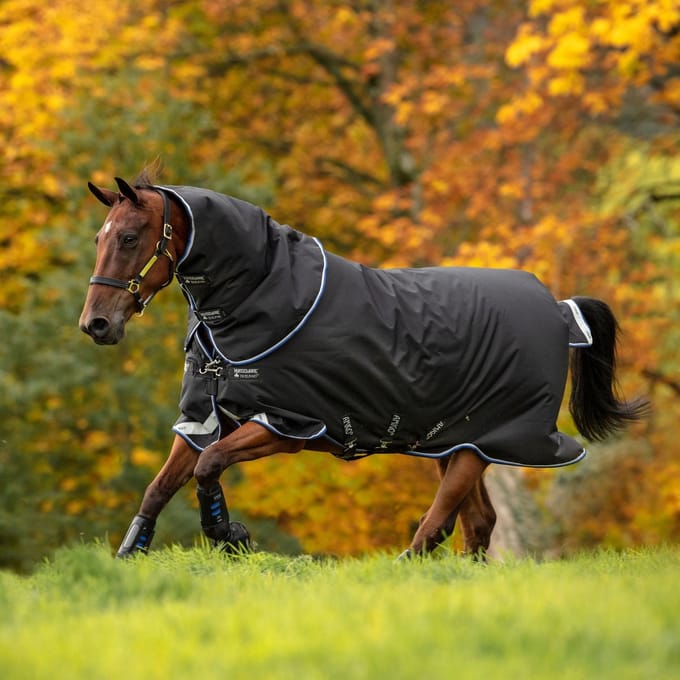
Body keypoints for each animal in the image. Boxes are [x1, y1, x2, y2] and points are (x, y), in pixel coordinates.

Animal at [79, 174, 647, 559]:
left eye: (129, 237)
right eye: (99, 238)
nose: (96, 324)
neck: (259, 300)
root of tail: (559, 309)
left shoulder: (288, 426)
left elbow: (208, 465)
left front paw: (229, 536)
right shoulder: (206, 417)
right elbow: (162, 484)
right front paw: (132, 551)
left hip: (487, 440)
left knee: (439, 523)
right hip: (453, 441)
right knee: (477, 524)